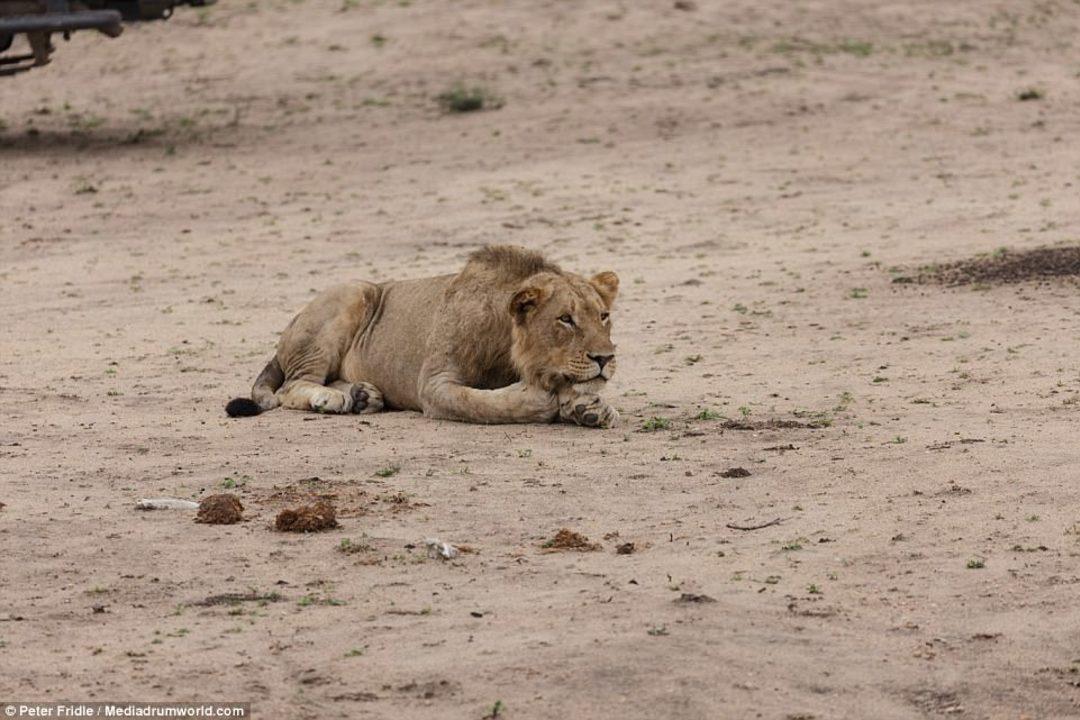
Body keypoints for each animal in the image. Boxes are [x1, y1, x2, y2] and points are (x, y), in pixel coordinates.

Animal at [223, 246, 622, 427]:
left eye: (603, 316)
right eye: (565, 319)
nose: (605, 358)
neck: (505, 347)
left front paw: (591, 407)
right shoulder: (433, 384)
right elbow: (480, 403)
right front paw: (539, 399)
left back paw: (362, 396)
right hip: (352, 292)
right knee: (291, 386)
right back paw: (331, 398)